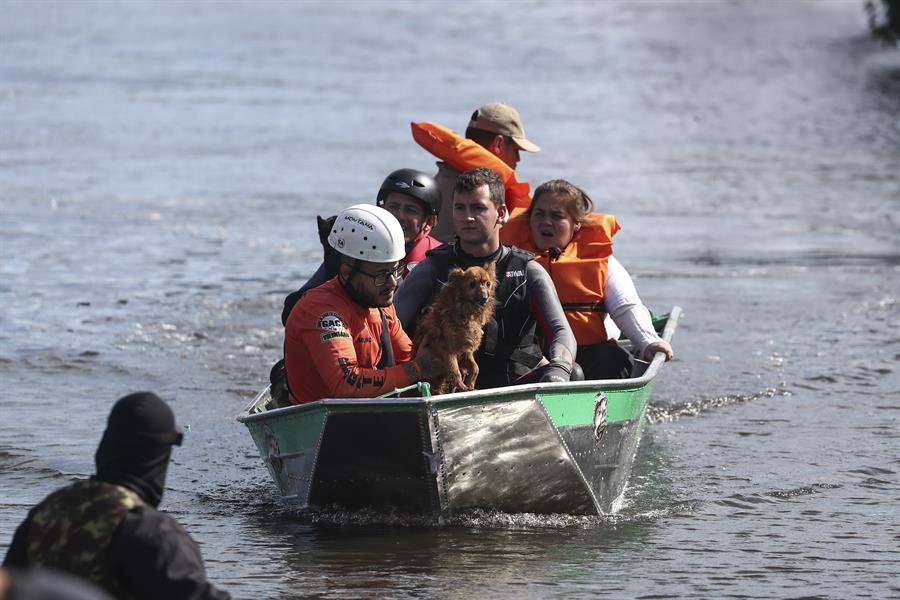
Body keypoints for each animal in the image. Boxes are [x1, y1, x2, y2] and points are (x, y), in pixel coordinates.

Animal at [416, 264, 500, 394]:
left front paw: (470, 384)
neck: (468, 313)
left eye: (488, 283)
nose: (484, 297)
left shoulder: (466, 350)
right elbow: (455, 370)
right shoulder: (445, 348)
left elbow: (475, 367)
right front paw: (462, 385)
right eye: (472, 284)